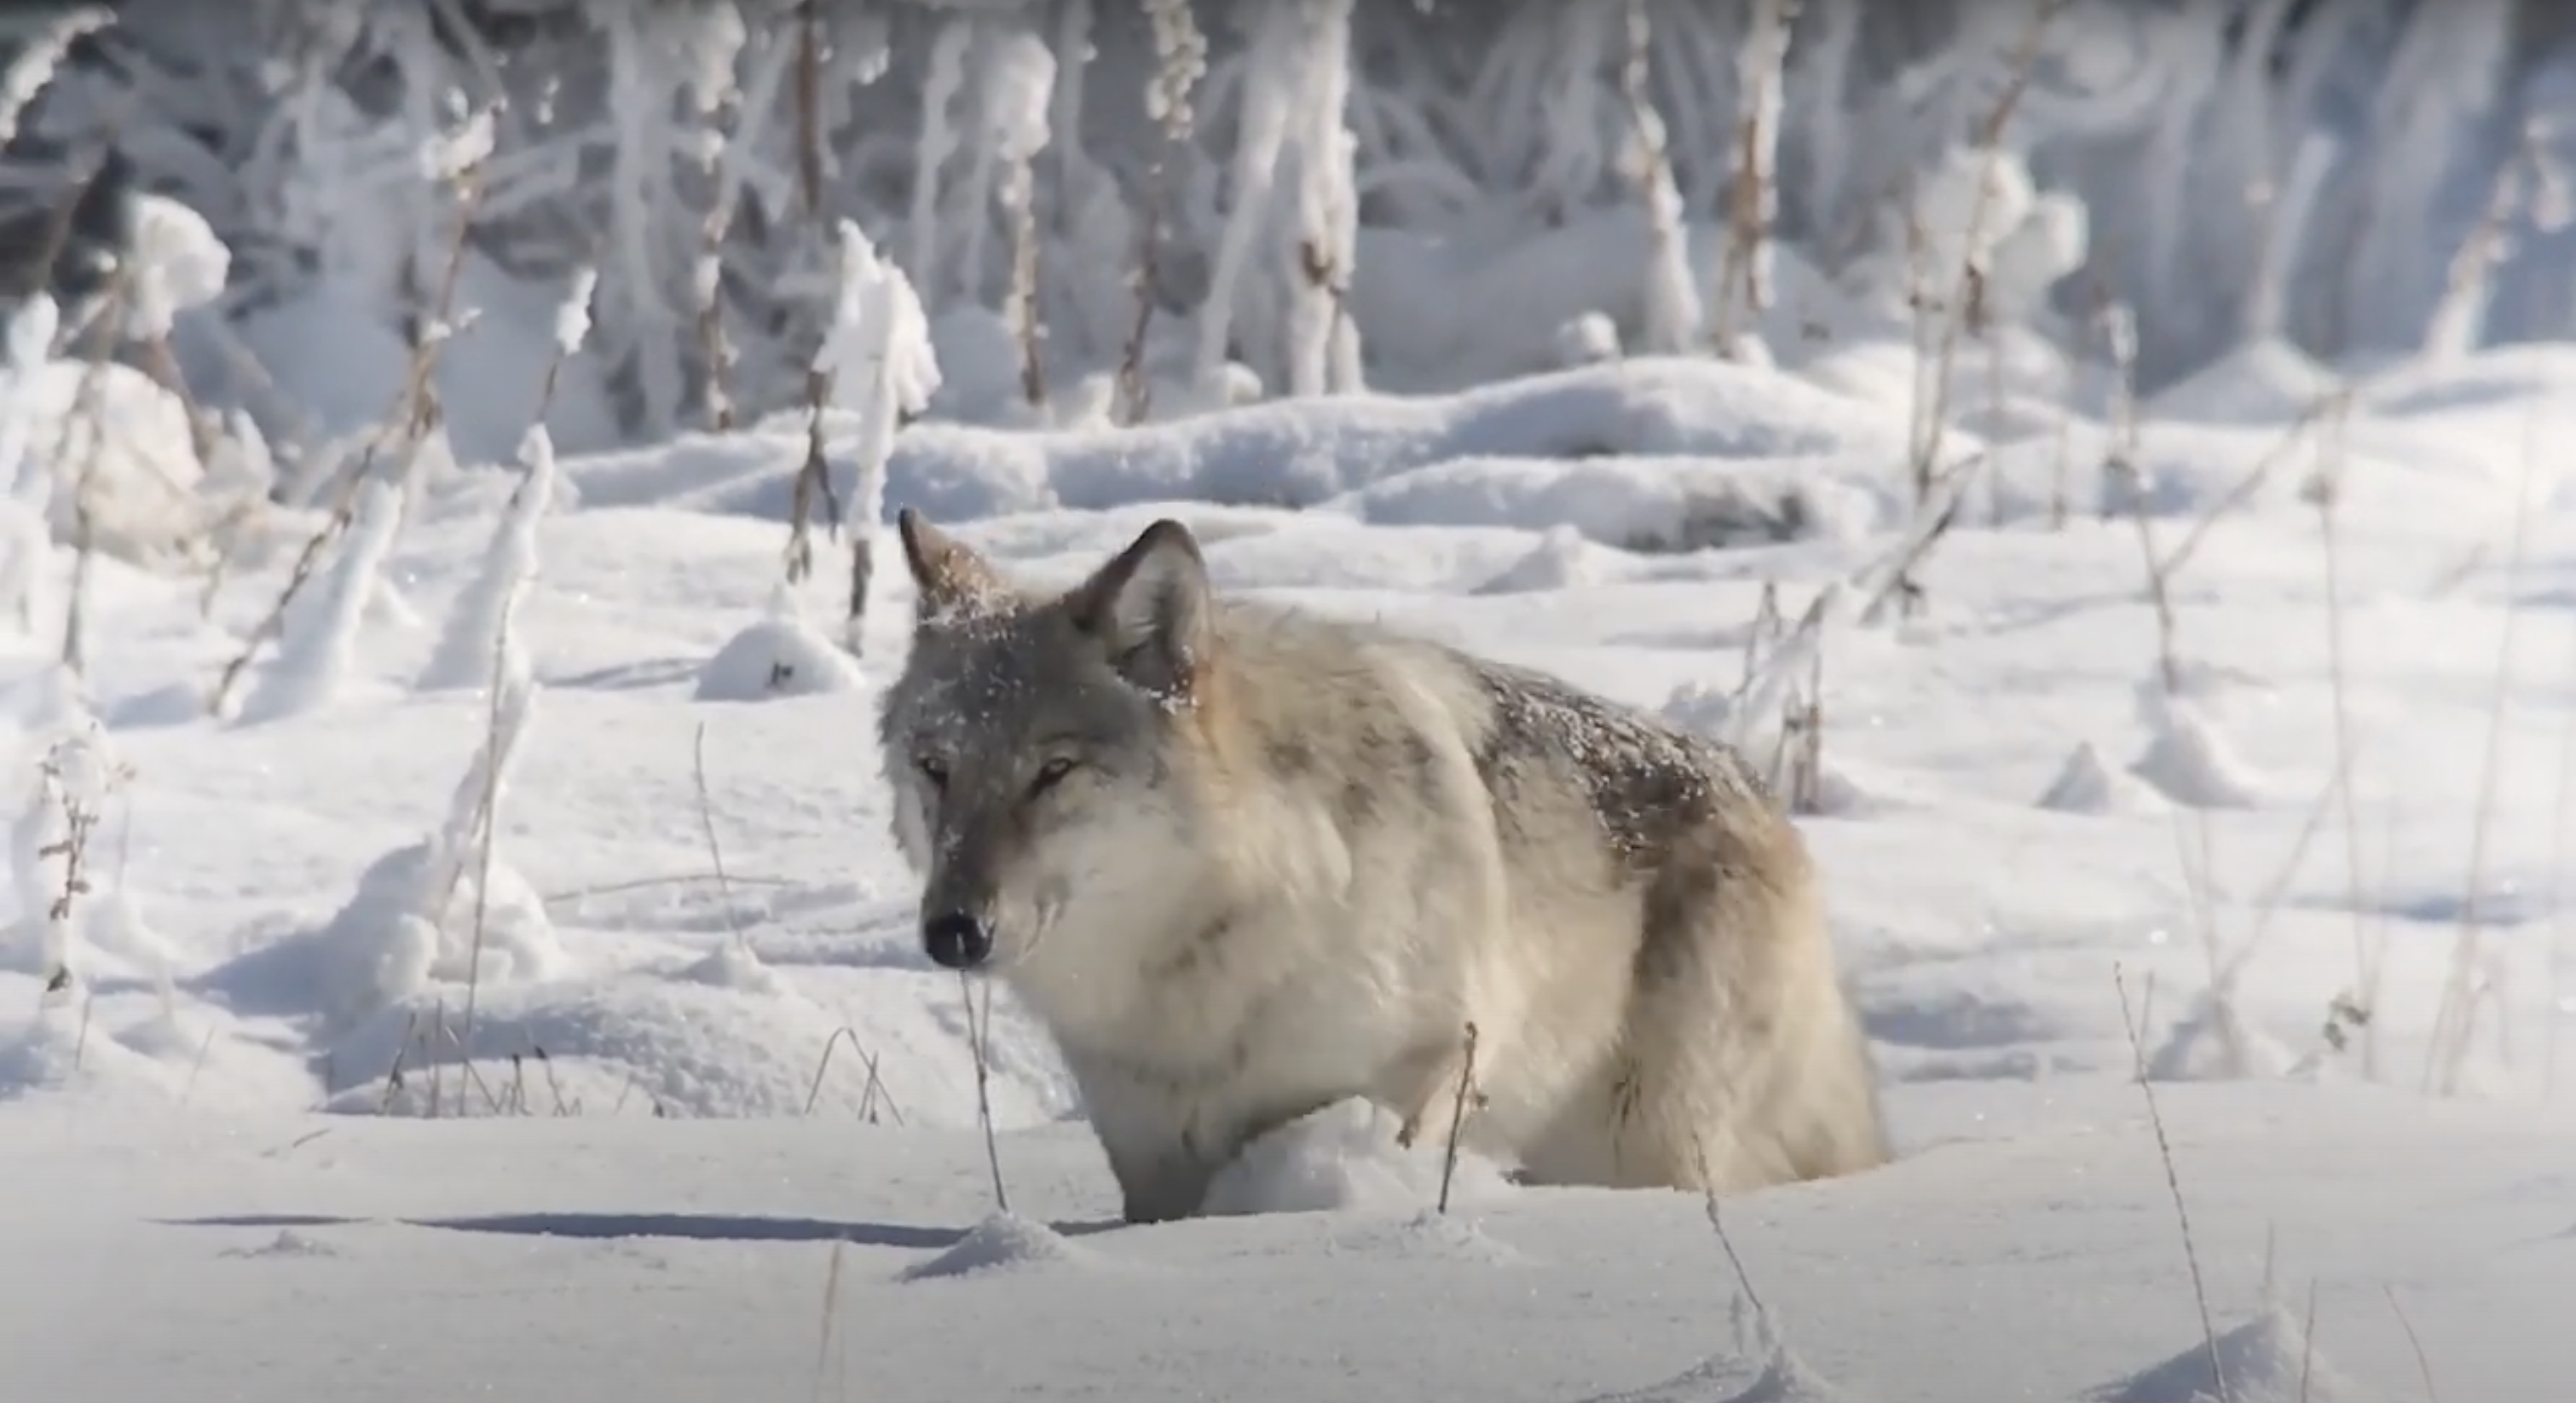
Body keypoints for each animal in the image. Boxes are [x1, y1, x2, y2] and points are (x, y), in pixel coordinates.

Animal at [881, 509, 1896, 1220]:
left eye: (1052, 772)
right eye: (936, 768)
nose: (953, 931)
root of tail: (1759, 796)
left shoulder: (1418, 1074)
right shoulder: (1151, 1152)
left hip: (1648, 1145)